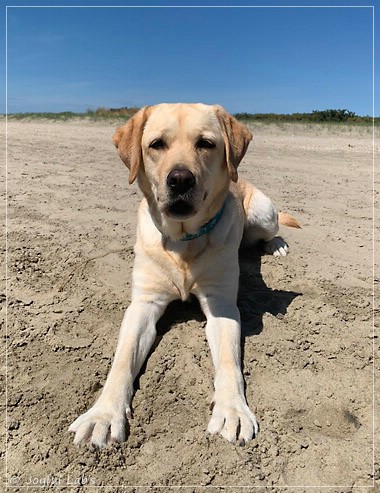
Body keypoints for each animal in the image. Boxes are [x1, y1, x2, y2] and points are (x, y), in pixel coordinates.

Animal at [69, 103, 300, 446]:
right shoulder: (144, 304)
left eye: (205, 143)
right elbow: (122, 359)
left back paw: (276, 244)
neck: (182, 242)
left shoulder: (221, 306)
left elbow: (229, 363)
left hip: (263, 212)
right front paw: (104, 414)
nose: (180, 180)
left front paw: (232, 410)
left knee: (270, 229)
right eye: (156, 145)